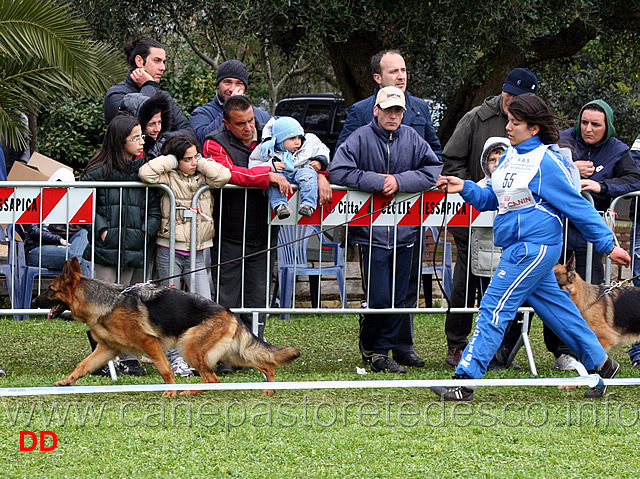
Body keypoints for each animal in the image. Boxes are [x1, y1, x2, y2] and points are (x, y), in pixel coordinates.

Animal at [36, 258, 302, 398]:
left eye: (50, 289)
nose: (35, 301)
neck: (106, 301)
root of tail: (229, 312)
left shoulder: (149, 343)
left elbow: (165, 370)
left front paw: (170, 392)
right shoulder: (107, 350)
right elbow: (82, 366)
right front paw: (66, 383)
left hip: (191, 348)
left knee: (212, 377)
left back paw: (188, 393)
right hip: (231, 354)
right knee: (264, 364)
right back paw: (269, 389)